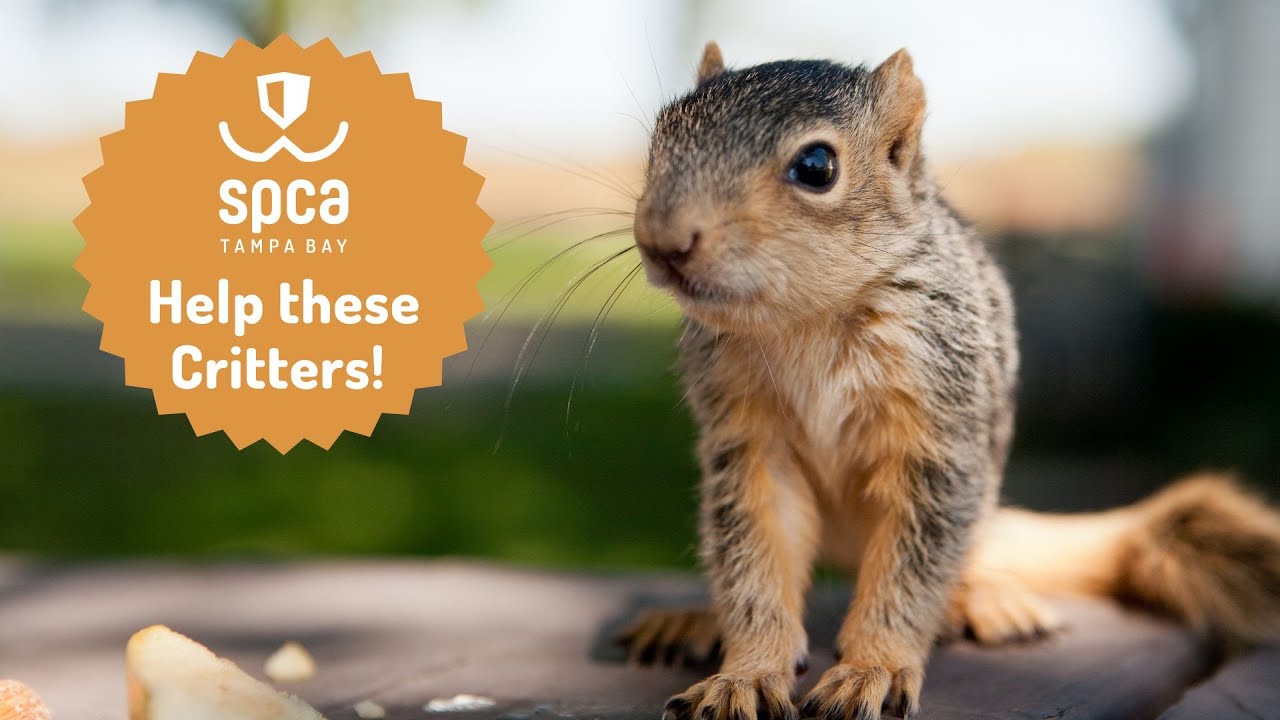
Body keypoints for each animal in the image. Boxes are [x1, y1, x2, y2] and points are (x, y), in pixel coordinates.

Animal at [617, 43, 1280, 720]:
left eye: (816, 165)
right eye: (660, 138)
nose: (661, 239)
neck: (807, 317)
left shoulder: (938, 433)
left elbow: (912, 568)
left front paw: (874, 668)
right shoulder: (748, 442)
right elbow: (755, 558)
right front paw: (746, 674)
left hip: (975, 508)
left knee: (958, 563)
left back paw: (983, 597)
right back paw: (695, 619)